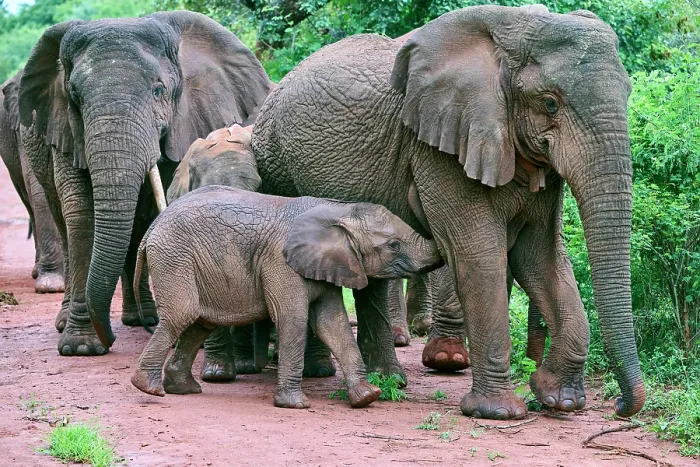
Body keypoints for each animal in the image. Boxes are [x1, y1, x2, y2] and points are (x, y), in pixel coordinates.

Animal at [18, 11, 272, 356]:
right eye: (75, 97)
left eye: (158, 91)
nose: (109, 339)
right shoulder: (65, 128)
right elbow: (82, 216)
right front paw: (82, 348)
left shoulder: (184, 121)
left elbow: (151, 210)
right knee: (63, 221)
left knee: (137, 224)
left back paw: (142, 319)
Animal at [130, 185, 443, 409]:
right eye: (393, 245)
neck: (338, 210)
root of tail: (151, 229)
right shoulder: (280, 263)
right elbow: (293, 319)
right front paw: (295, 405)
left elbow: (333, 323)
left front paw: (368, 396)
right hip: (173, 258)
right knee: (182, 315)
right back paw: (149, 388)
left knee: (199, 323)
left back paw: (184, 389)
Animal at [251, 4, 645, 419]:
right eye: (550, 102)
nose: (620, 405)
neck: (513, 33)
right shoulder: (440, 146)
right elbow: (479, 252)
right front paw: (498, 411)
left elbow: (541, 255)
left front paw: (559, 399)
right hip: (276, 166)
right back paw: (323, 374)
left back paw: (389, 381)